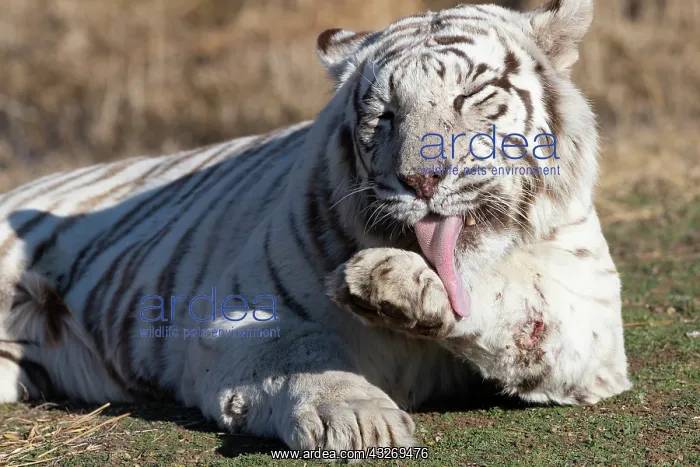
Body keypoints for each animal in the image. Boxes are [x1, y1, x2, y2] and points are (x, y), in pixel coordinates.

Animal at [0, 0, 631, 452]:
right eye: (385, 116)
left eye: (471, 94)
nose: (421, 180)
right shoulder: (238, 318)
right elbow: (302, 356)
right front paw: (357, 418)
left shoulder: (591, 320)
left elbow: (519, 301)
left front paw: (398, 284)